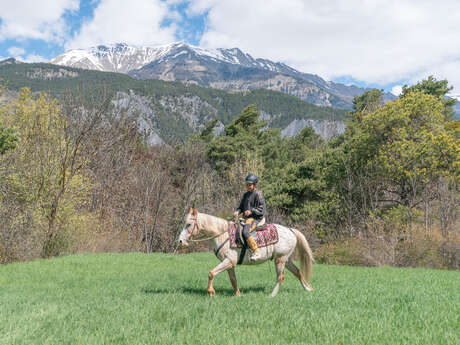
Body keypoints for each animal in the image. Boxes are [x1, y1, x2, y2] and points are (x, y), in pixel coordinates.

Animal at [176, 207, 312, 296]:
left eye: (188, 224)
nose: (181, 241)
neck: (223, 234)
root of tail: (291, 230)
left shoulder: (229, 261)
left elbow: (211, 273)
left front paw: (211, 291)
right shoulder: (229, 263)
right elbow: (233, 280)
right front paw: (238, 294)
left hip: (280, 259)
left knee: (281, 277)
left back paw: (272, 295)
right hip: (286, 259)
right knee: (298, 272)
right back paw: (308, 289)